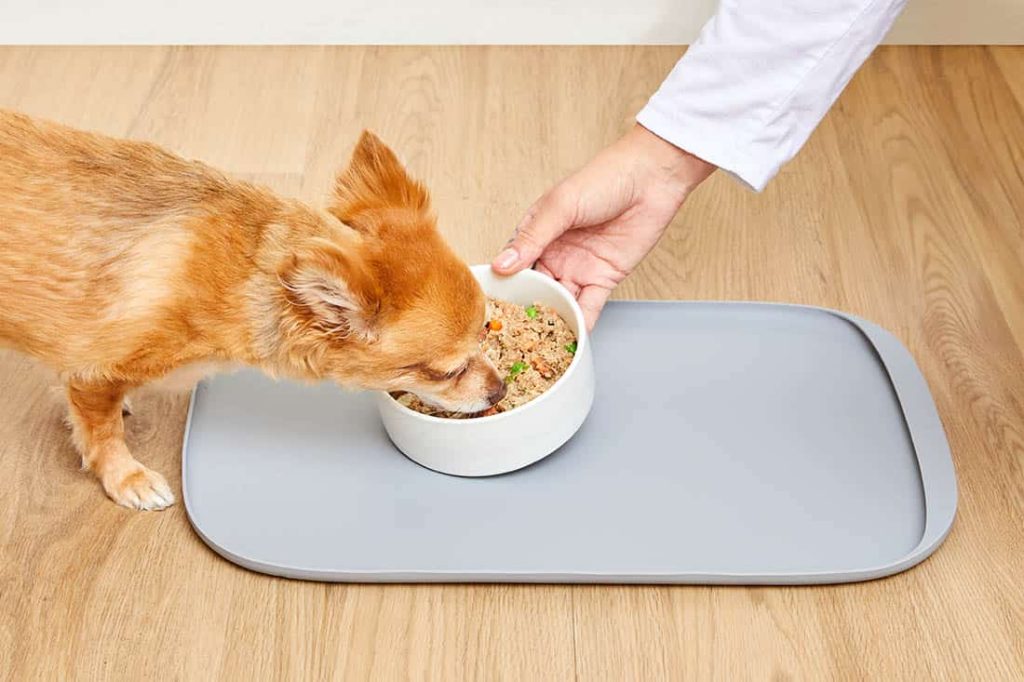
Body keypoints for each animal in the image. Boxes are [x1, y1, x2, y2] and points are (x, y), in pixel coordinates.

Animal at [0, 106, 507, 507]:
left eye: (488, 329)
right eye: (444, 372)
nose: (500, 391)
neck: (244, 277)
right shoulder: (92, 369)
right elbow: (101, 432)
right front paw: (128, 478)